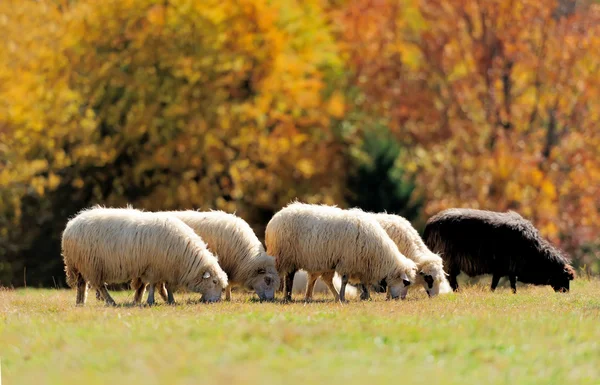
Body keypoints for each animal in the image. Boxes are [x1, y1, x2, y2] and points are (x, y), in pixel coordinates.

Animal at [62, 207, 227, 306]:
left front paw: (170, 300)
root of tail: (70, 225)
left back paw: (80, 302)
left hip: (81, 264)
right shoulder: (154, 268)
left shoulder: (165, 268)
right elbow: (153, 285)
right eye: (214, 281)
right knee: (99, 286)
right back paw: (110, 301)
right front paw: (151, 301)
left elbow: (165, 286)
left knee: (81, 284)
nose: (216, 301)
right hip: (91, 265)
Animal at [268, 202, 418, 302]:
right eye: (405, 282)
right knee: (283, 275)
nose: (399, 298)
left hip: (312, 260)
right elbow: (345, 281)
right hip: (284, 255)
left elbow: (364, 282)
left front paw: (365, 296)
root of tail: (276, 216)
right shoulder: (348, 262)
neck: (379, 256)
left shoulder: (360, 264)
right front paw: (344, 296)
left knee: (301, 277)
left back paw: (297, 297)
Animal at [424, 208, 576, 292]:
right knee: (449, 278)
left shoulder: (506, 269)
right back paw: (456, 291)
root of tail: (430, 224)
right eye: (565, 278)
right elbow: (501, 283)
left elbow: (506, 283)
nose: (566, 293)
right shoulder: (505, 266)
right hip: (448, 258)